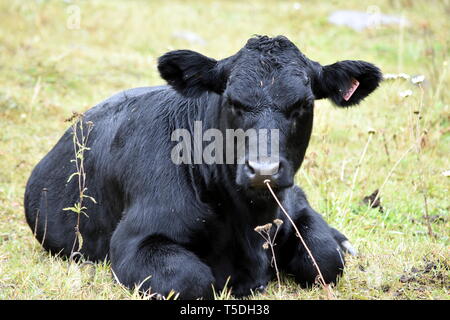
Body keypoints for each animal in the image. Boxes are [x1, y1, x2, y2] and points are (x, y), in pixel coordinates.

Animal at [24, 36, 382, 298]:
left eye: (303, 104)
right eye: (232, 100)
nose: (263, 170)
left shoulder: (290, 206)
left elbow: (324, 258)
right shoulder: (133, 241)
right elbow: (192, 280)